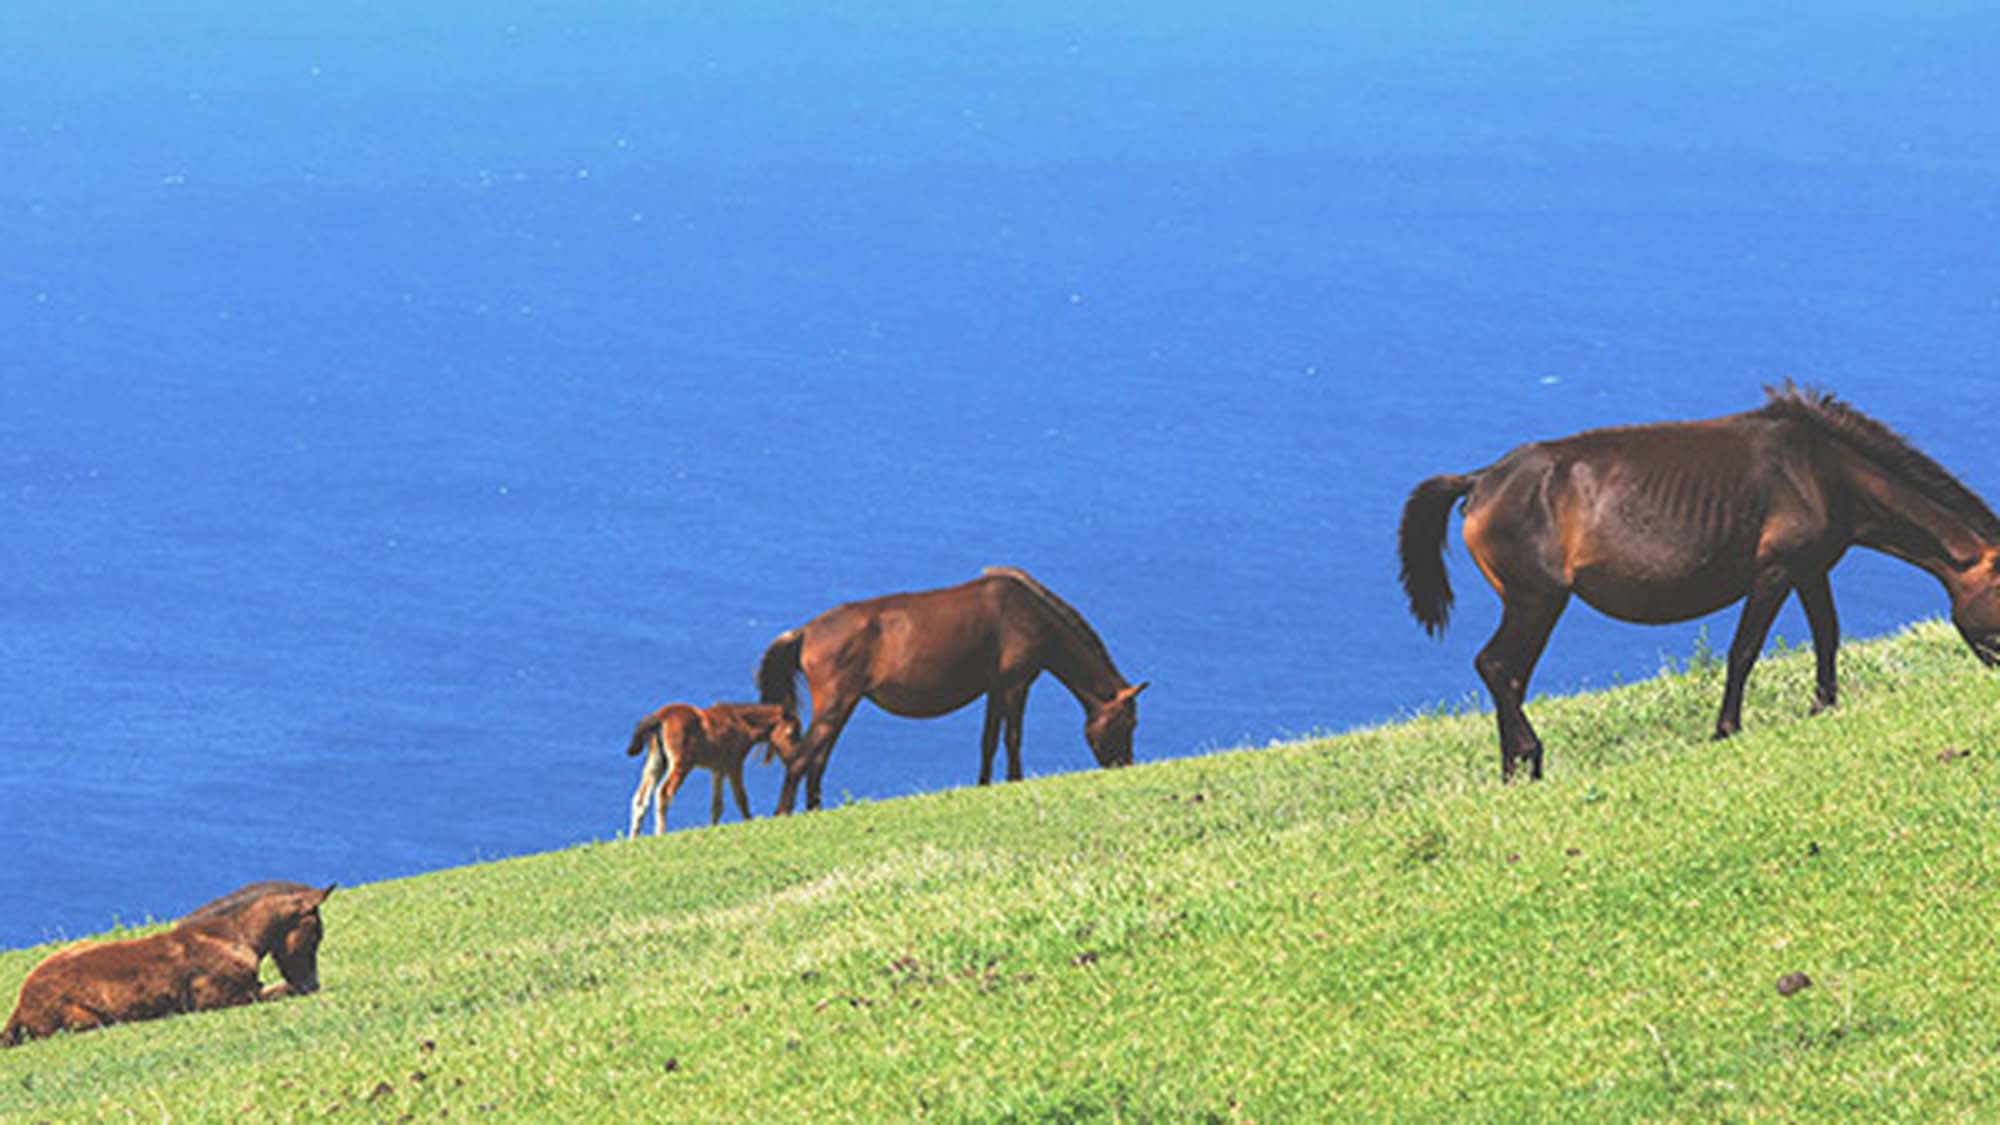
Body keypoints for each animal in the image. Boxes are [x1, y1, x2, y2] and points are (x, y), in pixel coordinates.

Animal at [1, 876, 334, 1040]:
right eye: (316, 935)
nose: (313, 982)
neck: (229, 937)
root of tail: (22, 1001)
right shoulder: (228, 999)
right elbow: (282, 991)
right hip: (85, 1021)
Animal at [624, 700, 796, 832]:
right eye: (792, 732)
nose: (793, 758)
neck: (740, 722)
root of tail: (661, 716)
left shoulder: (718, 770)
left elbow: (717, 806)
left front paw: (713, 829)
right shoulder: (734, 765)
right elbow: (741, 798)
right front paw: (749, 823)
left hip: (657, 763)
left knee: (640, 799)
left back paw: (634, 839)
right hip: (682, 764)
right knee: (664, 793)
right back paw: (660, 834)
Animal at [756, 564, 1152, 808]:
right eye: (1128, 723)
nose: (1124, 764)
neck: (1030, 613)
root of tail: (805, 632)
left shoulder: (995, 689)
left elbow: (989, 740)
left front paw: (984, 785)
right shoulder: (1016, 684)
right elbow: (1012, 738)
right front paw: (1015, 780)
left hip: (843, 704)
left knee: (817, 759)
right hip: (837, 703)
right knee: (802, 758)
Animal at [1400, 384, 2000, 780]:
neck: (1823, 469)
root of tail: (1481, 480)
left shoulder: (1811, 568)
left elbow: (1827, 635)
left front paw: (1823, 707)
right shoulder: (1775, 571)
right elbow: (1744, 650)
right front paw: (1726, 728)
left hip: (1531, 602)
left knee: (1508, 675)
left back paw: (1513, 770)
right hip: (1537, 599)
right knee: (1498, 666)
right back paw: (1530, 755)